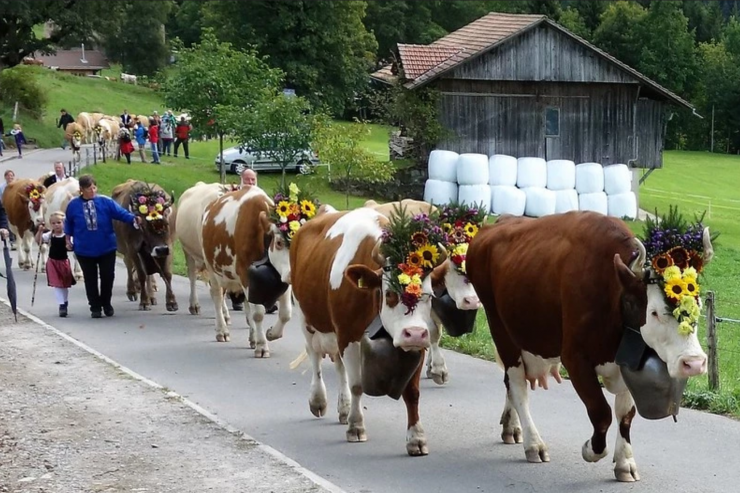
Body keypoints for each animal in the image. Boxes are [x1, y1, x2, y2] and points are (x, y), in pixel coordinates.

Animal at [110, 181, 178, 312]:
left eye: (166, 223)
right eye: (144, 226)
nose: (161, 250)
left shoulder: (169, 247)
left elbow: (167, 273)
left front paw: (171, 302)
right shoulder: (133, 249)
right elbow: (141, 274)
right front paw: (144, 302)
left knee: (148, 275)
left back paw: (152, 297)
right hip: (127, 251)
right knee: (130, 266)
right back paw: (132, 292)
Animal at [202, 184, 294, 354]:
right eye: (279, 242)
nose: (293, 274)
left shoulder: (279, 277)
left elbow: (286, 313)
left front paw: (271, 334)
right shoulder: (245, 271)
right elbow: (258, 313)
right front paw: (262, 345)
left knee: (246, 304)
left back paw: (252, 337)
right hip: (212, 269)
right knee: (217, 296)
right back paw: (222, 331)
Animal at [290, 206, 450, 456]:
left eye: (429, 295)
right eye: (391, 293)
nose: (414, 333)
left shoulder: (417, 345)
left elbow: (413, 393)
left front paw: (416, 437)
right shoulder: (348, 334)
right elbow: (357, 385)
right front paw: (356, 426)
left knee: (339, 365)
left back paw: (344, 408)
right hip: (306, 317)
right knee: (315, 357)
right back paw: (318, 401)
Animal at [466, 211, 712, 480]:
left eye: (698, 304)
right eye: (655, 313)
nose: (694, 363)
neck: (613, 294)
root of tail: (500, 221)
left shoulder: (627, 360)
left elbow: (625, 414)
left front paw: (625, 462)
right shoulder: (575, 358)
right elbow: (601, 412)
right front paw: (591, 450)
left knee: (510, 384)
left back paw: (512, 428)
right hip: (500, 328)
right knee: (518, 385)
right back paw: (534, 444)